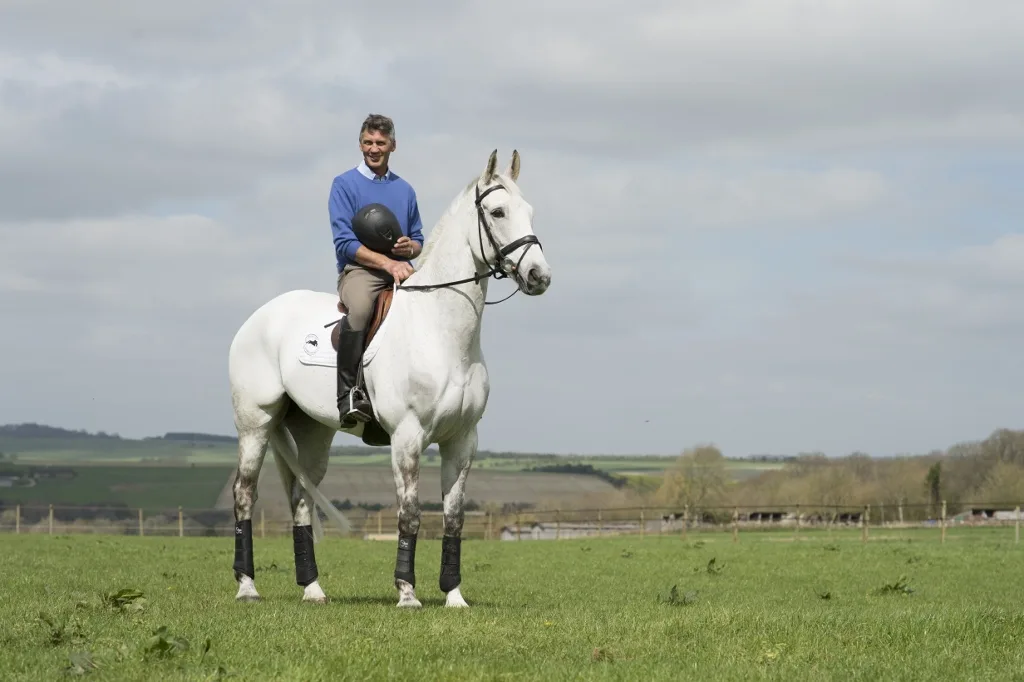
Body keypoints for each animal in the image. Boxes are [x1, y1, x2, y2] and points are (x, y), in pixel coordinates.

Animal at [225, 148, 552, 606]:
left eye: (530, 212)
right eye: (497, 211)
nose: (540, 276)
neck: (441, 331)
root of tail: (260, 316)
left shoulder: (462, 440)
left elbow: (453, 518)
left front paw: (454, 596)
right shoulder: (407, 437)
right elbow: (410, 514)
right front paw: (407, 593)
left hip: (313, 433)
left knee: (301, 498)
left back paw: (313, 589)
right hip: (255, 423)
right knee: (244, 495)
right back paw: (247, 587)